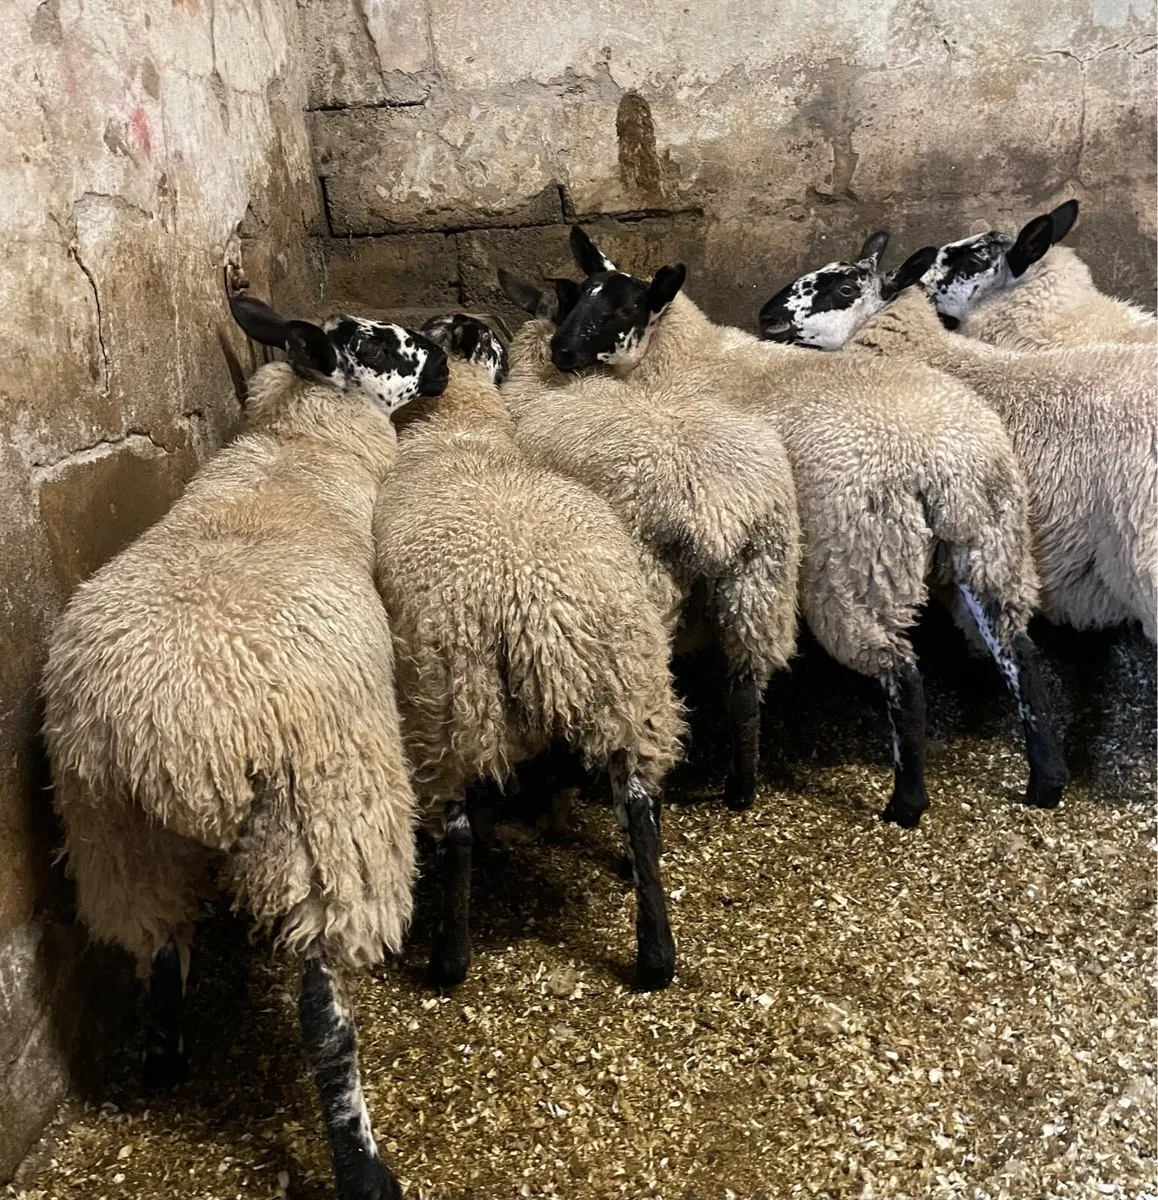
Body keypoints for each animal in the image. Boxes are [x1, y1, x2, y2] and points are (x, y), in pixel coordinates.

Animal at [42, 295, 450, 1200]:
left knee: (157, 942)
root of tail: (177, 750)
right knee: (323, 1019)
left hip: (115, 836)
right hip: (321, 830)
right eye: (383, 346)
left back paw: (164, 1061)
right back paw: (363, 1166)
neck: (297, 449)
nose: (443, 359)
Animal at [371, 313, 687, 991]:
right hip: (633, 686)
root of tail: (540, 611)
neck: (459, 431)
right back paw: (655, 955)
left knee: (460, 828)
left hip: (451, 702)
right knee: (641, 811)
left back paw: (448, 960)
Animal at [498, 270, 801, 813]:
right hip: (764, 579)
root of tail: (720, 515)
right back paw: (740, 790)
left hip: (654, 577)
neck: (547, 381)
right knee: (745, 688)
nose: (564, 350)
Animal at [548, 226, 1067, 829]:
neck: (684, 360)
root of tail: (943, 462)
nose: (560, 351)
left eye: (626, 306)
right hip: (990, 540)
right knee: (1018, 649)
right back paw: (1046, 780)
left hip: (860, 562)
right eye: (579, 295)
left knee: (902, 672)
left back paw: (907, 802)